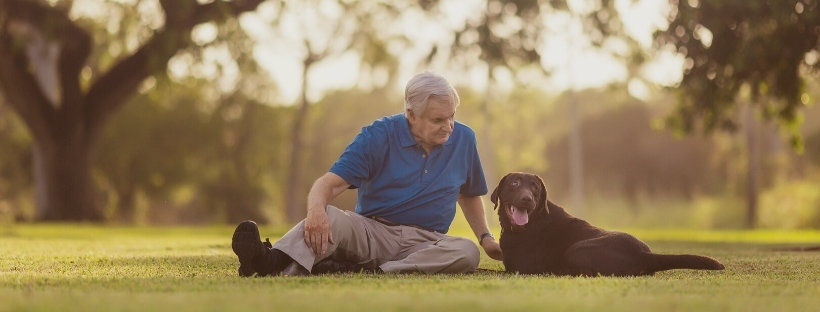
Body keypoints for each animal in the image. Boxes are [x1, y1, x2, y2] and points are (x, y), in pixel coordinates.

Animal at [490, 172, 720, 276]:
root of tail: (645, 254)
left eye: (535, 187)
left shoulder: (520, 269)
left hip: (576, 249)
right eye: (514, 183)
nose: (527, 199)